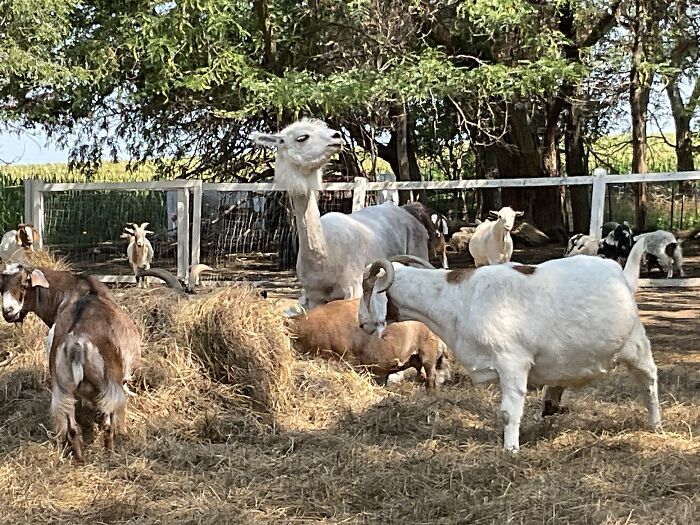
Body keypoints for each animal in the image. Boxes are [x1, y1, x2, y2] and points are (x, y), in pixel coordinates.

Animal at [1, 263, 141, 462]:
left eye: (24, 284)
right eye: (2, 287)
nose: (8, 311)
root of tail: (76, 344)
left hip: (63, 387)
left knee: (73, 427)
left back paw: (80, 459)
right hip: (109, 383)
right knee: (108, 423)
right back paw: (109, 454)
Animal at [249, 119, 431, 313]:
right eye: (302, 137)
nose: (336, 136)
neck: (326, 257)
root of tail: (406, 211)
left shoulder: (353, 287)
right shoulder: (314, 298)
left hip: (417, 251)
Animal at [357, 244, 660, 452]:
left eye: (367, 288)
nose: (361, 323)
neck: (457, 299)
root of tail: (622, 275)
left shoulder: (512, 362)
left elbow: (508, 412)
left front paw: (510, 449)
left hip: (637, 346)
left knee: (649, 383)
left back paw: (656, 425)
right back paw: (551, 403)